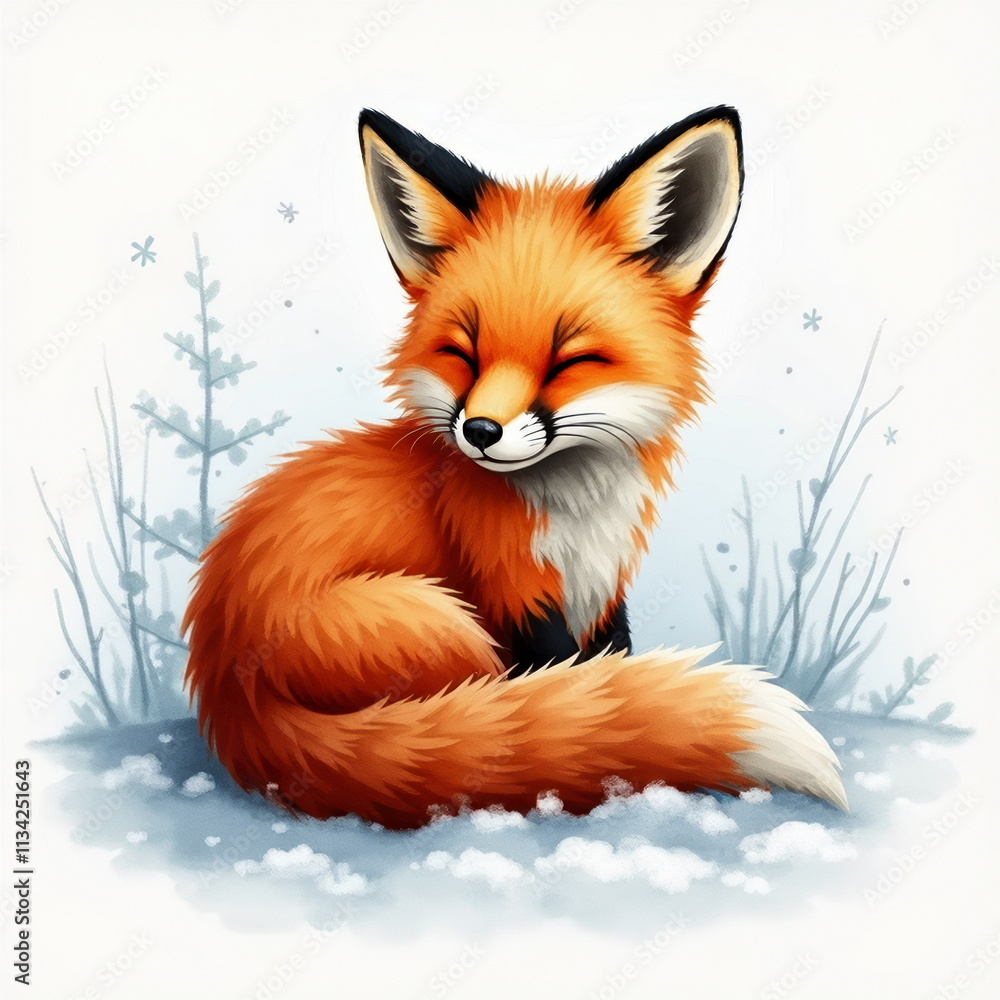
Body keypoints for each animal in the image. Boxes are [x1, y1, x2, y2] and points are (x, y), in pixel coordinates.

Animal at [183, 106, 848, 829]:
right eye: (464, 355)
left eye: (569, 360)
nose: (479, 432)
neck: (574, 510)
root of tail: (228, 696)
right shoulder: (514, 587)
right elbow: (570, 691)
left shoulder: (602, 588)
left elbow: (609, 670)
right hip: (439, 622)